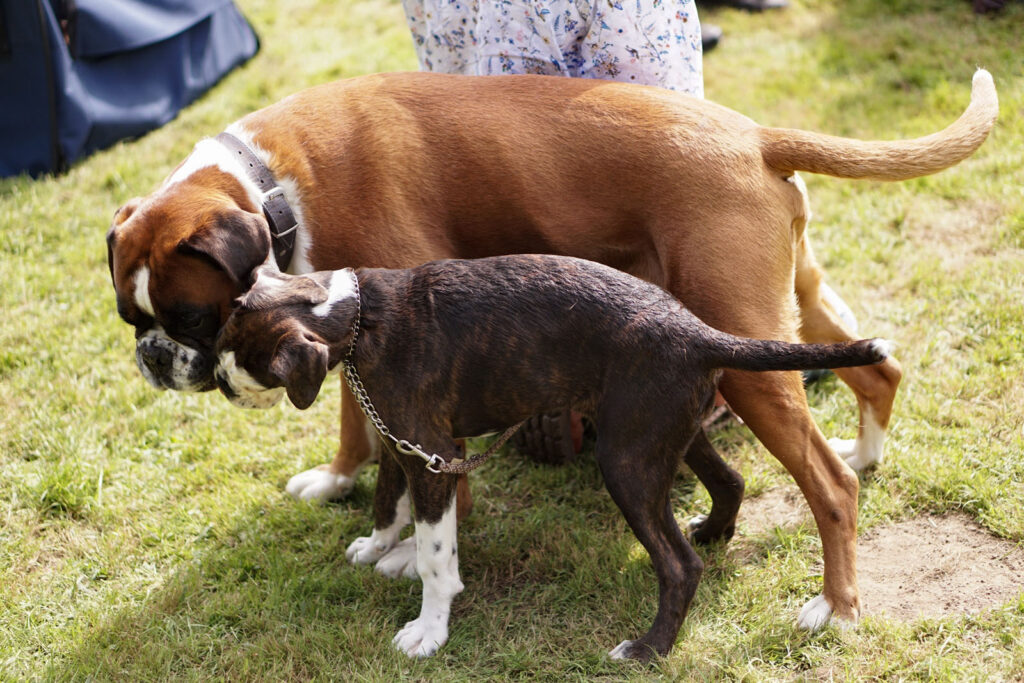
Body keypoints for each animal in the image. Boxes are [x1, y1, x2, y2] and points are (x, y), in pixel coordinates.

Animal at [214, 253, 888, 659]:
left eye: (238, 356)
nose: (214, 380)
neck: (357, 317)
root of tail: (697, 331)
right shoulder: (403, 446)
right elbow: (386, 502)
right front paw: (378, 548)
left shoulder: (433, 453)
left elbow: (436, 557)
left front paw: (429, 629)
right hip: (663, 434)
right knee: (729, 481)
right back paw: (714, 533)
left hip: (626, 463)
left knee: (680, 566)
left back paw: (648, 649)